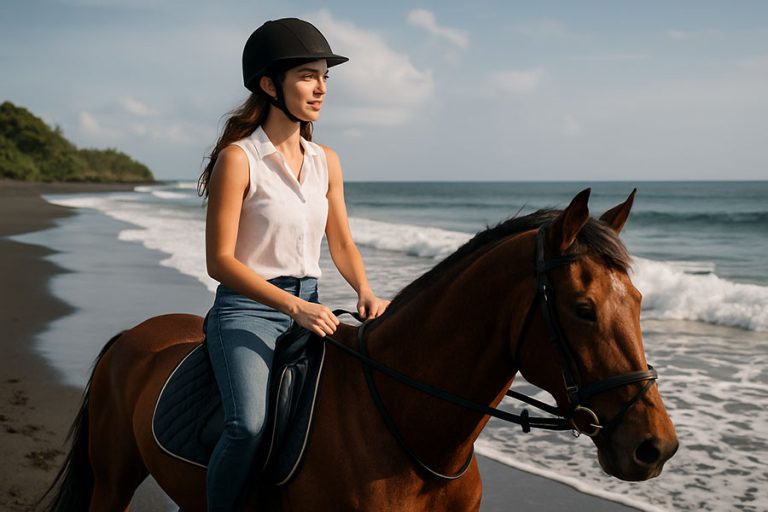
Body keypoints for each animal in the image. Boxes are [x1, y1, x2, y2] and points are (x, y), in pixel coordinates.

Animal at [43, 188, 678, 511]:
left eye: (640, 300)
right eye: (583, 308)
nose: (656, 448)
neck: (407, 429)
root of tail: (133, 336)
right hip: (112, 482)